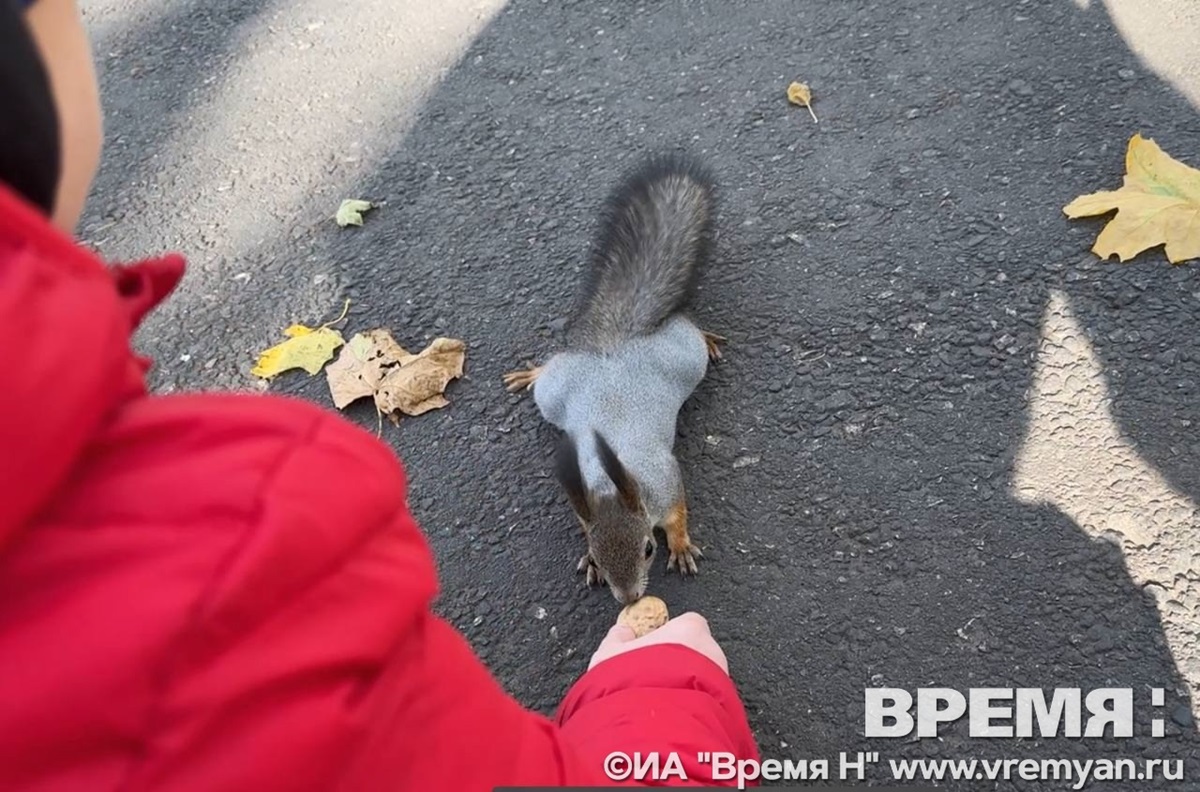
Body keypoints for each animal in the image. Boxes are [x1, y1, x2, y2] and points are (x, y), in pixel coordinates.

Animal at [504, 151, 724, 602]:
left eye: (648, 548)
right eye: (596, 551)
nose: (629, 598)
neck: (610, 484)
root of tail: (615, 345)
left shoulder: (667, 482)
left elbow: (679, 514)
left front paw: (681, 545)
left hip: (684, 358)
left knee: (689, 327)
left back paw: (708, 337)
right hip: (554, 394)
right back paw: (532, 372)